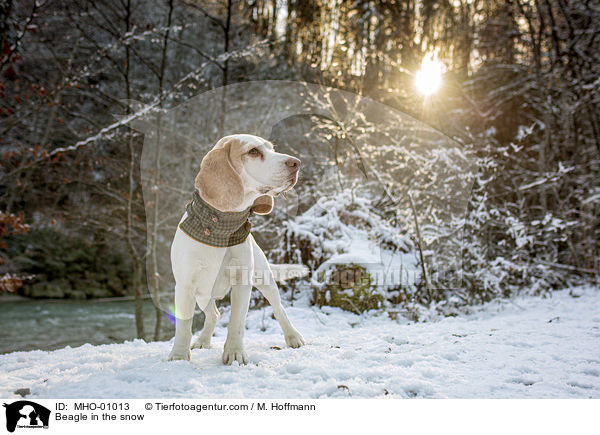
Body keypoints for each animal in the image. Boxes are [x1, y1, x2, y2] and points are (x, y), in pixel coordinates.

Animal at [169, 135, 308, 366]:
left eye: (272, 149)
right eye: (253, 152)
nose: (296, 162)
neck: (221, 227)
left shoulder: (243, 284)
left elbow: (236, 323)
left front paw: (234, 353)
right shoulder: (185, 286)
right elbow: (183, 327)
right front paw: (179, 356)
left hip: (265, 280)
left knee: (279, 309)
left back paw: (293, 336)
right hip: (203, 295)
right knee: (214, 315)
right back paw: (203, 340)